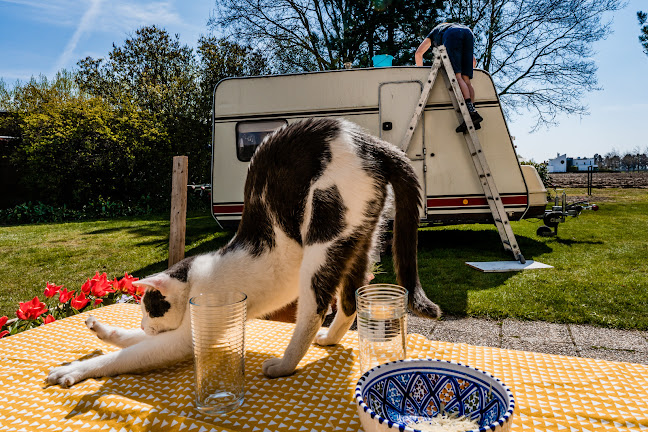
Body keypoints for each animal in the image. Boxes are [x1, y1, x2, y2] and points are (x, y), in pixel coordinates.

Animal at [45, 117, 440, 388]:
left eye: (150, 308)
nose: (144, 321)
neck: (196, 280)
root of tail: (371, 142)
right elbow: (130, 341)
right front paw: (101, 329)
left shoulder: (189, 335)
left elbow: (127, 355)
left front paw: (75, 370)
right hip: (360, 239)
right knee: (350, 299)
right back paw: (330, 339)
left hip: (324, 239)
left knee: (315, 308)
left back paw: (286, 364)